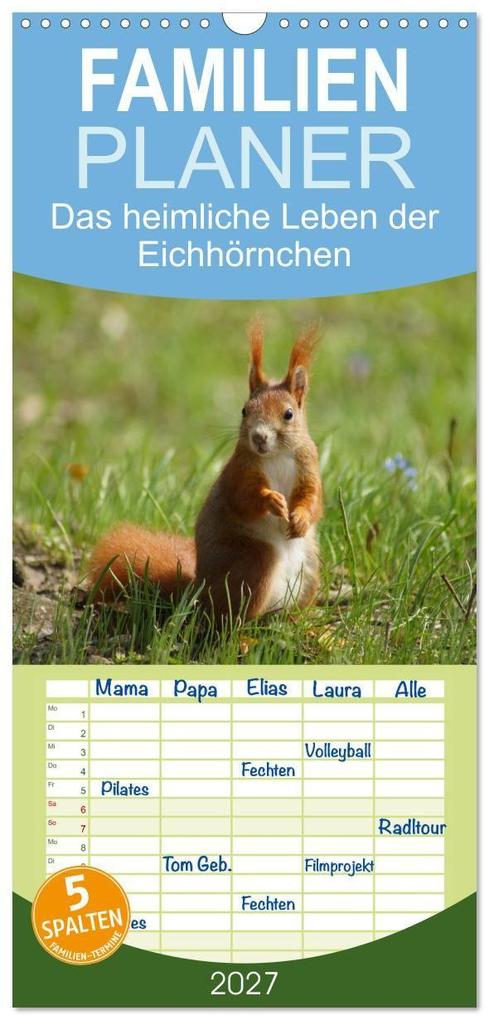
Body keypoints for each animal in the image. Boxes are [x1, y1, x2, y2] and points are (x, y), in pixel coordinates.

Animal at [88, 323, 323, 622]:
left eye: (289, 414)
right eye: (244, 410)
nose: (259, 437)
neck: (276, 455)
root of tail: (199, 592)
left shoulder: (309, 466)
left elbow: (313, 499)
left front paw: (301, 518)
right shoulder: (239, 470)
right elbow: (242, 498)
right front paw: (271, 500)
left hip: (310, 568)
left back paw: (299, 620)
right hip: (254, 561)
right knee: (233, 616)